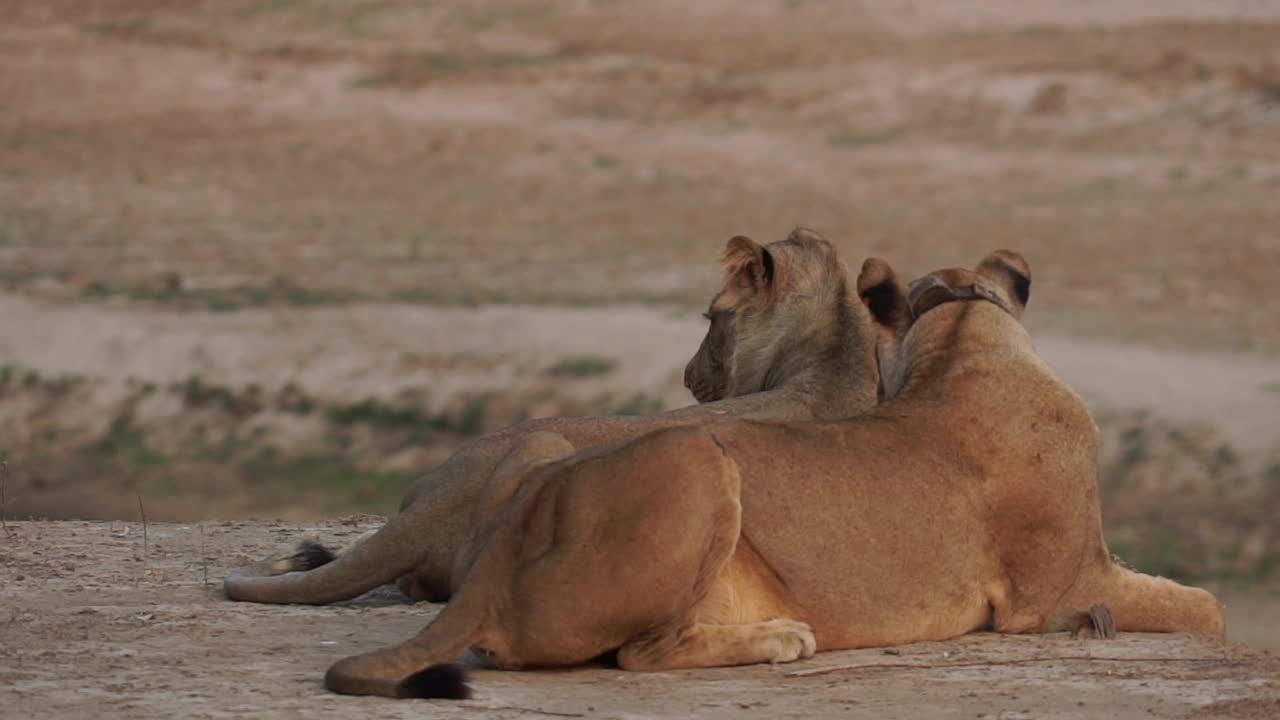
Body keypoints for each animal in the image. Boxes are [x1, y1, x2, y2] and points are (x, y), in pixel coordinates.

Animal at [314, 245, 1223, 696]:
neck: (961, 347)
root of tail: (497, 558)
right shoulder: (1058, 588)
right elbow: (1206, 609)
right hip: (699, 466)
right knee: (641, 655)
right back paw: (783, 639)